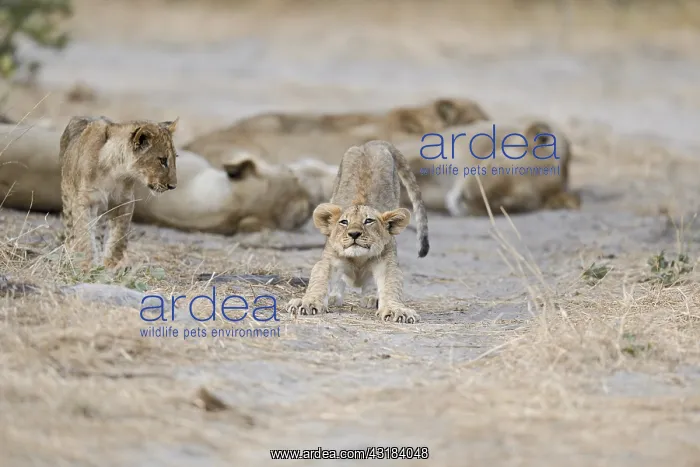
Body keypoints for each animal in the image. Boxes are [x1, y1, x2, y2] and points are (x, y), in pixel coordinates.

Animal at [59, 115, 179, 269]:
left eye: (175, 158)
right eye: (163, 160)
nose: (173, 186)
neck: (115, 170)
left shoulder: (124, 201)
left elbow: (120, 234)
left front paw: (111, 262)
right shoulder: (84, 200)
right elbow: (84, 233)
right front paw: (87, 263)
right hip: (67, 196)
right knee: (70, 230)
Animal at [286, 140, 429, 324]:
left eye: (368, 221)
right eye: (344, 222)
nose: (354, 234)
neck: (358, 258)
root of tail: (370, 143)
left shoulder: (387, 263)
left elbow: (391, 286)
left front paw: (396, 310)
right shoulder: (329, 259)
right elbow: (318, 280)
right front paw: (307, 302)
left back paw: (371, 298)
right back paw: (334, 296)